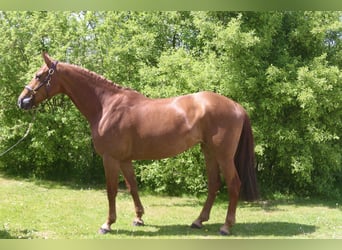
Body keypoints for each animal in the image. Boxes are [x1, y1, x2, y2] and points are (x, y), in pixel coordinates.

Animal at [17, 53, 258, 236]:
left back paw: (226, 226)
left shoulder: (110, 158)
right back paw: (198, 221)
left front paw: (107, 224)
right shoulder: (125, 160)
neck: (106, 106)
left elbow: (112, 190)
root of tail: (237, 106)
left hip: (224, 155)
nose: (22, 101)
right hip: (209, 151)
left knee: (234, 184)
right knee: (214, 184)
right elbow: (132, 186)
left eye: (39, 75)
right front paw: (139, 218)